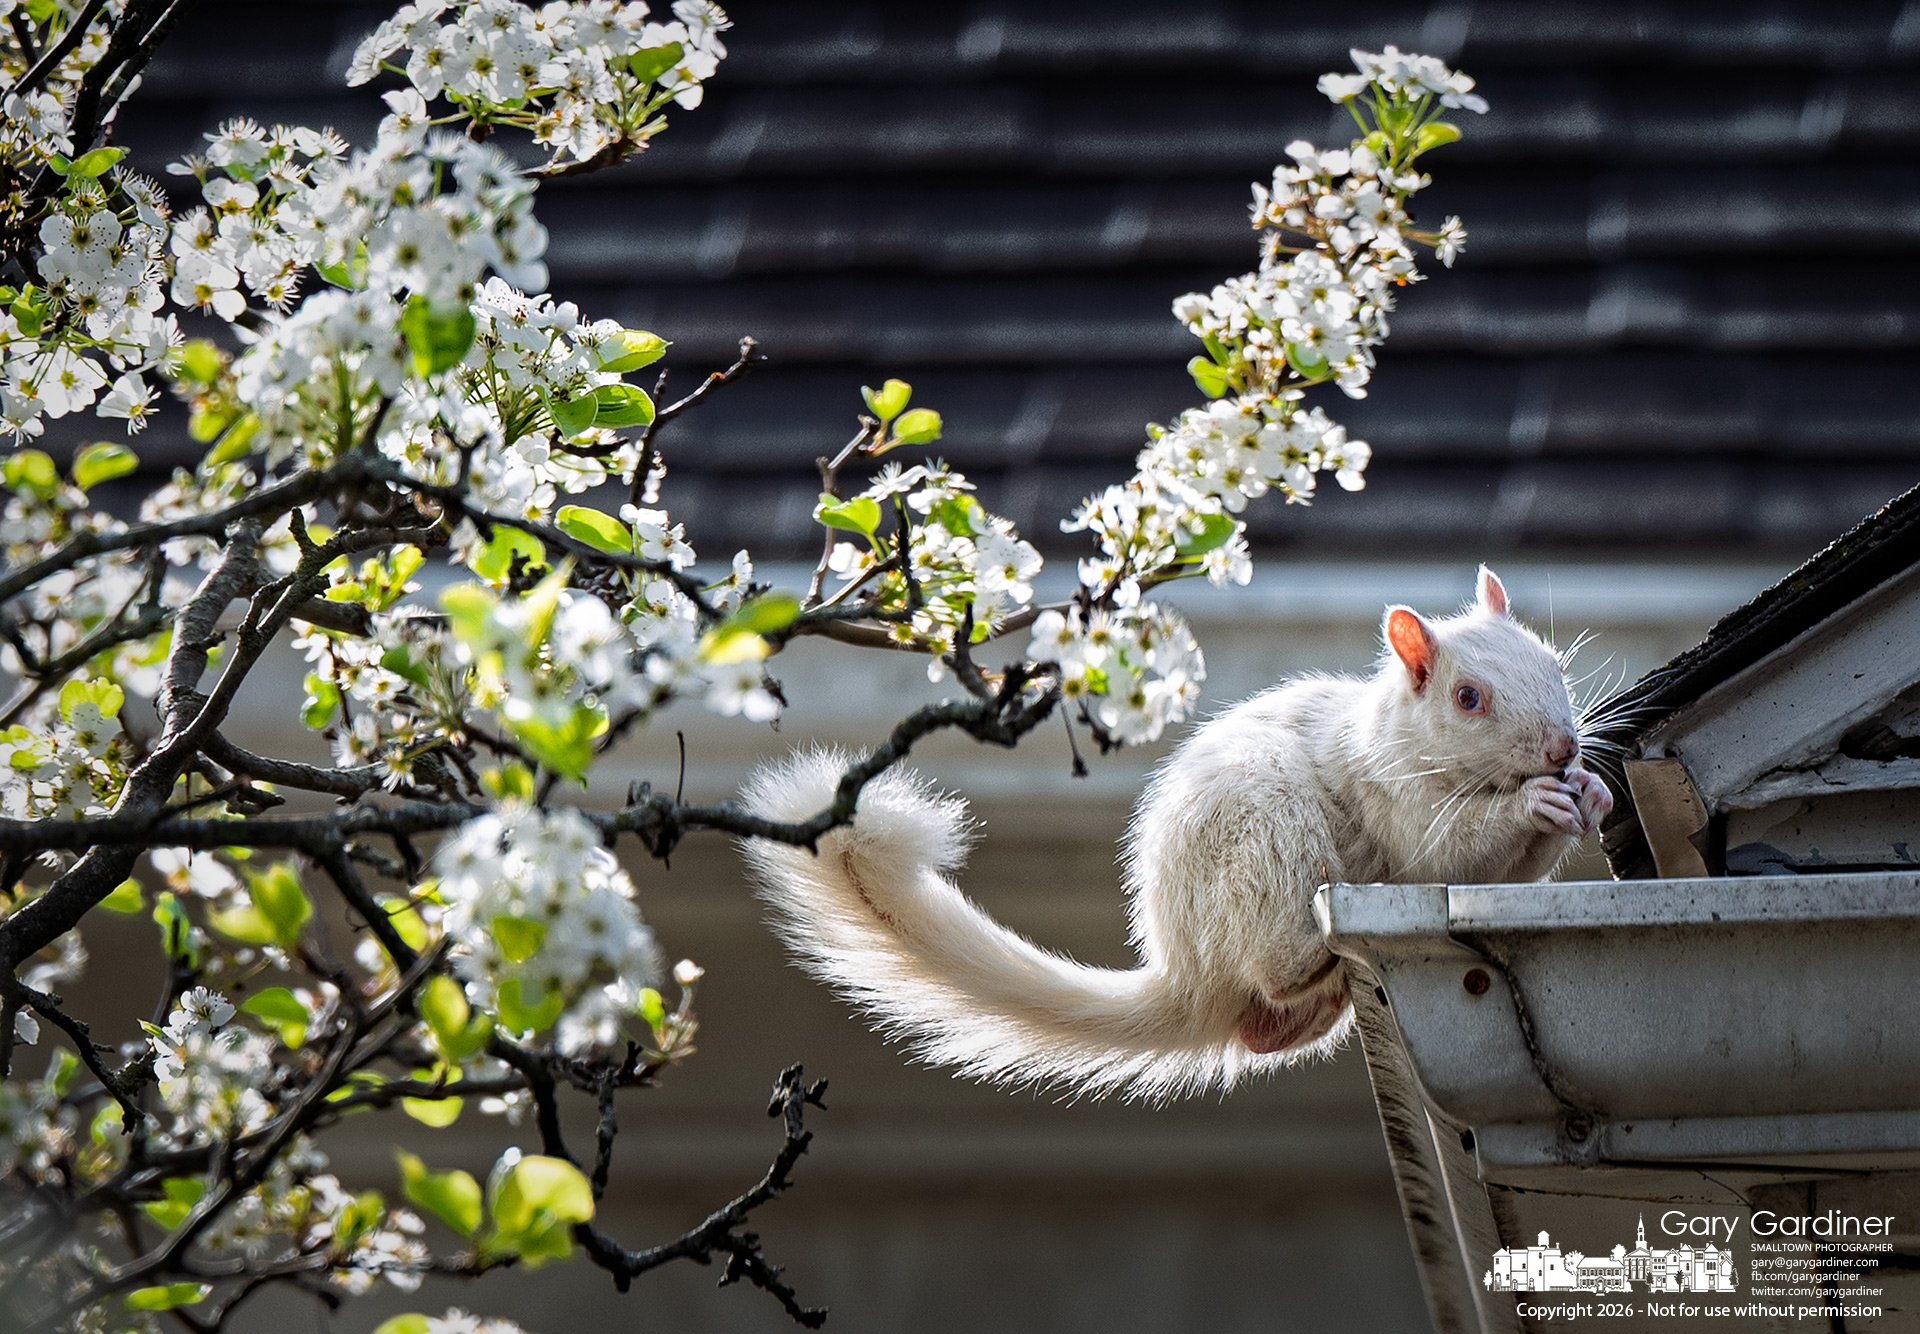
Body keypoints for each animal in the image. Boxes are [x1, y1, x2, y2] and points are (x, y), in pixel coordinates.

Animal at [741, 567, 1613, 1101]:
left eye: (1554, 665)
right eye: (1468, 698)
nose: (1562, 749)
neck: (1402, 735)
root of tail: (1187, 974)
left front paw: (1592, 792)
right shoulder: (1392, 795)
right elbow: (1449, 848)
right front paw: (1535, 805)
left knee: (1267, 1025)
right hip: (1266, 842)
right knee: (1276, 966)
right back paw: (1310, 954)